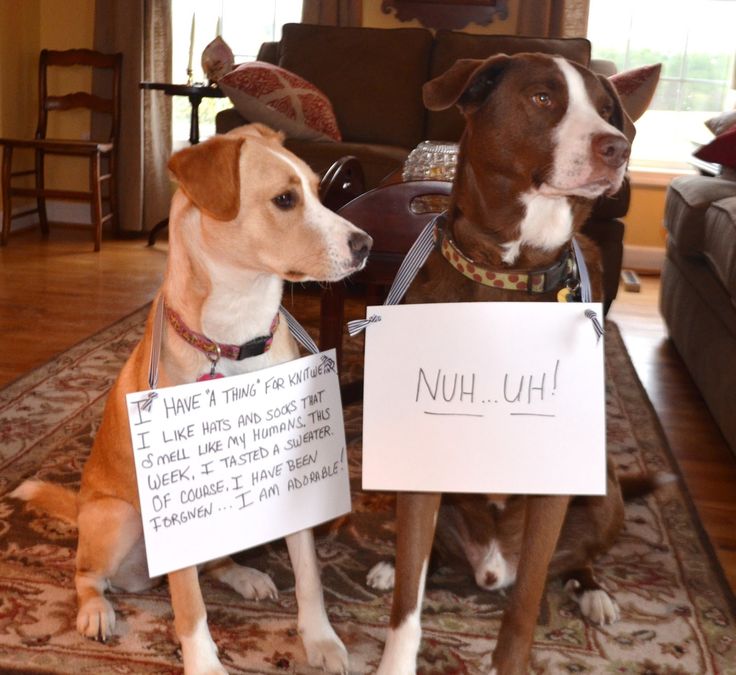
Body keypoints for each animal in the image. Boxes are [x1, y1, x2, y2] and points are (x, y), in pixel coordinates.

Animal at [13, 124, 374, 672]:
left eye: (318, 189)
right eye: (285, 199)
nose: (366, 244)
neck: (235, 336)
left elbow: (310, 575)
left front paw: (321, 640)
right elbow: (190, 606)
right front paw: (204, 662)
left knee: (214, 563)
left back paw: (243, 576)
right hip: (116, 519)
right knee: (87, 575)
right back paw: (96, 610)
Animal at [376, 54, 636, 675]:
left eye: (608, 109)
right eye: (543, 98)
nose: (618, 147)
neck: (508, 273)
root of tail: (491, 566)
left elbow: (525, 604)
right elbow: (407, 601)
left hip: (604, 486)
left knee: (570, 560)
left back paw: (593, 592)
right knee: (423, 557)